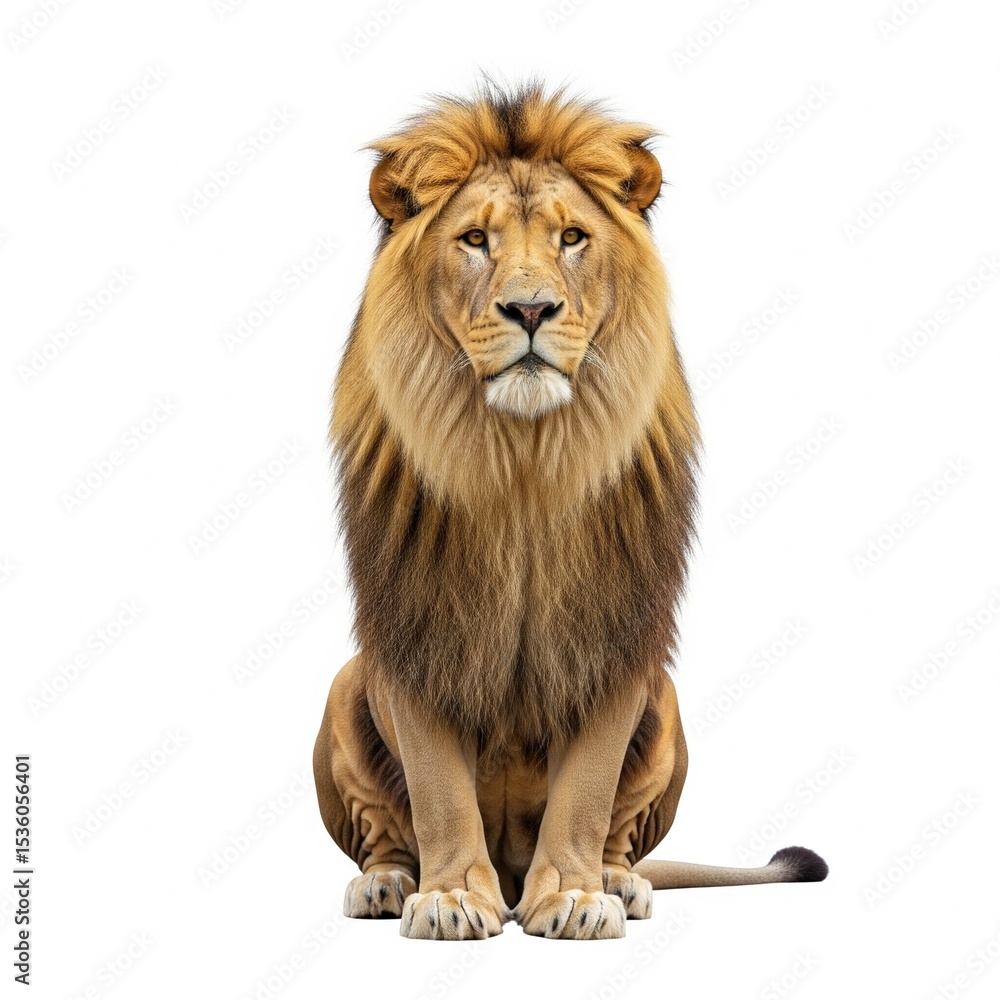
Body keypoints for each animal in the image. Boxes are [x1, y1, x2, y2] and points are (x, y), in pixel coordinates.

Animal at [312, 83, 827, 940]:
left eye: (573, 238)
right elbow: (436, 787)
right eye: (475, 239)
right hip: (349, 680)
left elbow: (587, 786)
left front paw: (579, 896)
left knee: (621, 833)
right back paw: (386, 882)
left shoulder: (614, 628)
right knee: (385, 829)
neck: (524, 461)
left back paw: (618, 881)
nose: (530, 309)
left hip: (665, 696)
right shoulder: (415, 625)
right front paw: (451, 895)